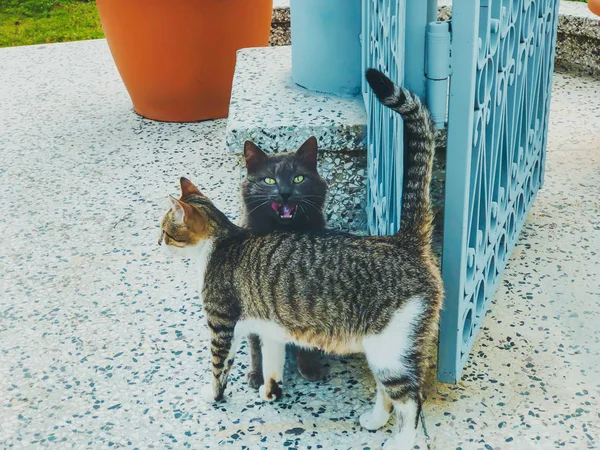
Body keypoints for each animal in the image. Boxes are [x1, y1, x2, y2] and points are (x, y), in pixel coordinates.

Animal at [241, 137, 330, 386]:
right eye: (269, 180)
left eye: (298, 178)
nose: (285, 193)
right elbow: (256, 344)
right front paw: (258, 373)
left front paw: (309, 367)